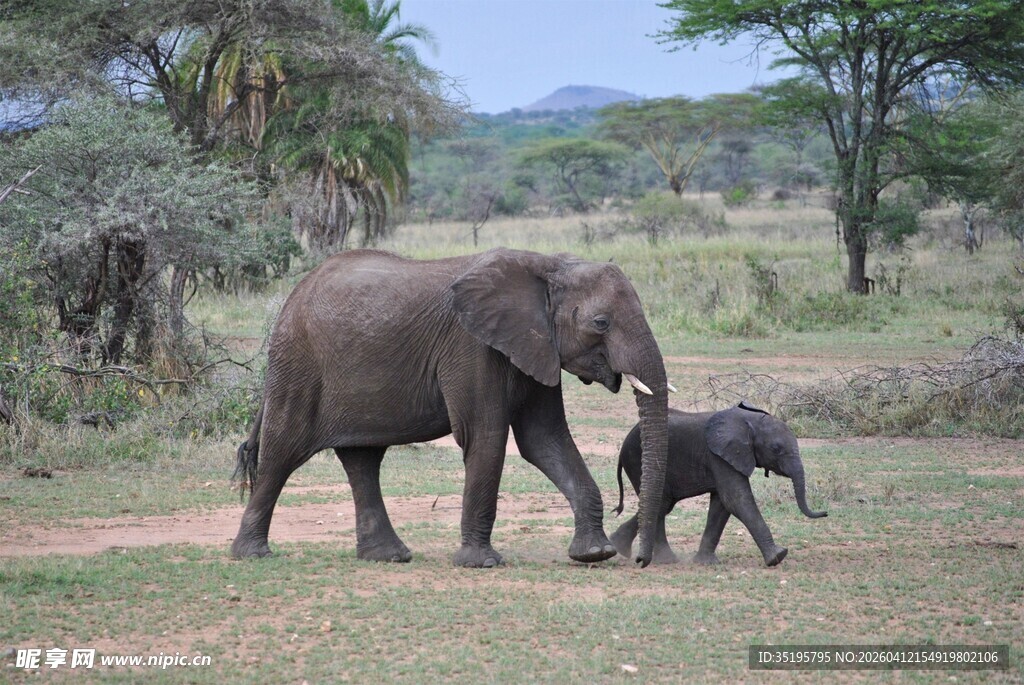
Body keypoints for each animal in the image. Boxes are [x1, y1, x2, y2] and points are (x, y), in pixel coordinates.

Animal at [232, 247, 670, 568]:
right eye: (601, 323)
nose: (641, 561)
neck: (547, 265)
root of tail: (294, 294)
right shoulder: (472, 347)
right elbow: (486, 437)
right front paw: (482, 563)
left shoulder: (535, 346)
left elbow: (545, 440)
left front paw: (594, 554)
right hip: (298, 362)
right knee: (282, 452)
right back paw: (252, 555)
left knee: (362, 460)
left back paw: (388, 557)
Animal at [610, 402, 827, 566]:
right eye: (776, 449)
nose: (825, 513)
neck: (748, 420)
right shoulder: (719, 456)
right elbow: (736, 499)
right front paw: (778, 556)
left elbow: (721, 505)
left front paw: (706, 563)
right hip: (636, 459)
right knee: (661, 503)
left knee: (662, 505)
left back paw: (624, 548)